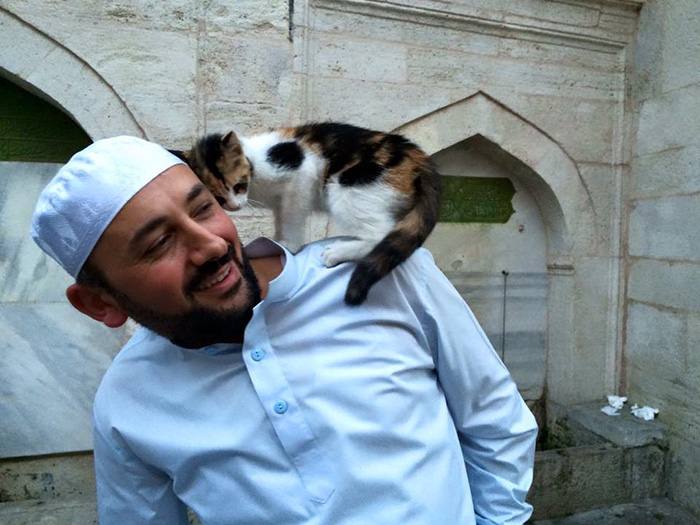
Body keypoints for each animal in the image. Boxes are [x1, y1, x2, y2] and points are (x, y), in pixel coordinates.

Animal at [170, 122, 440, 304]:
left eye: (238, 186)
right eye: (218, 198)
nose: (235, 206)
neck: (254, 163)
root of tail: (419, 158)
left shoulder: (300, 174)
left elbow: (292, 215)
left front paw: (289, 244)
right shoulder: (279, 200)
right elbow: (281, 216)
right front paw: (277, 240)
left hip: (348, 187)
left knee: (380, 233)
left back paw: (337, 252)